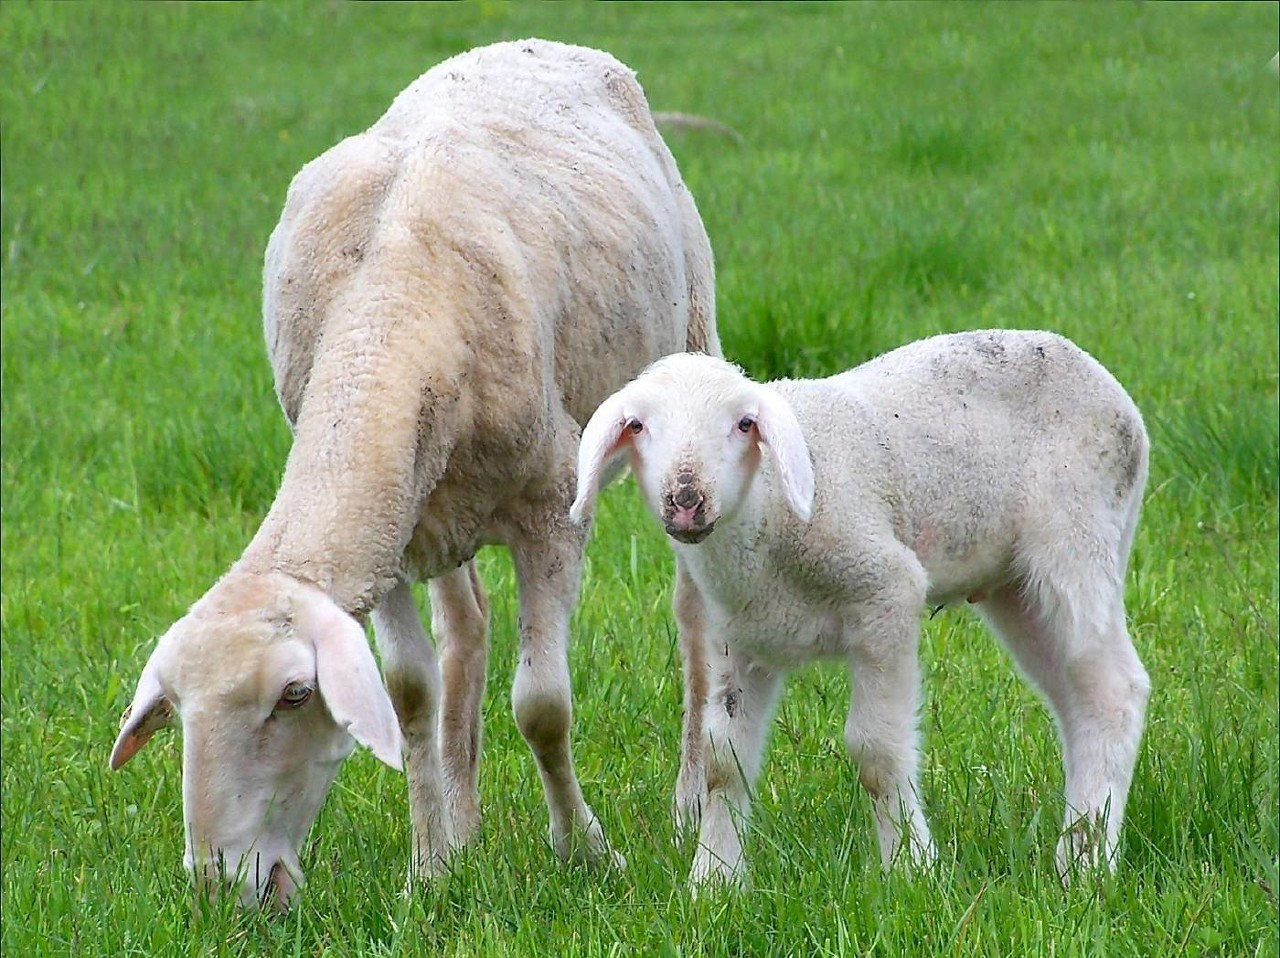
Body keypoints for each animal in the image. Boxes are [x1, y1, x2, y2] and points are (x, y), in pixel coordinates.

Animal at [107, 35, 721, 906]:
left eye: (294, 695)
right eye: (180, 713)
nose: (221, 888)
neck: (386, 314)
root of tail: (538, 42)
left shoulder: (550, 509)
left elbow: (542, 705)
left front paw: (586, 853)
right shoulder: (391, 543)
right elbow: (409, 693)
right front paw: (430, 869)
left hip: (688, 347)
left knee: (692, 609)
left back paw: (690, 799)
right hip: (439, 510)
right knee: (466, 627)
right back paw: (462, 825)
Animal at [570, 330, 1152, 891]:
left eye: (743, 423)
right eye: (638, 425)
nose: (686, 499)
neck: (770, 515)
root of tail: (1107, 384)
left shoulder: (885, 595)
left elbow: (877, 753)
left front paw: (912, 868)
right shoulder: (738, 640)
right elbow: (722, 761)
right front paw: (714, 882)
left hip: (1075, 540)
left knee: (1112, 690)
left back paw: (1088, 862)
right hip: (1015, 586)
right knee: (1075, 699)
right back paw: (1076, 844)